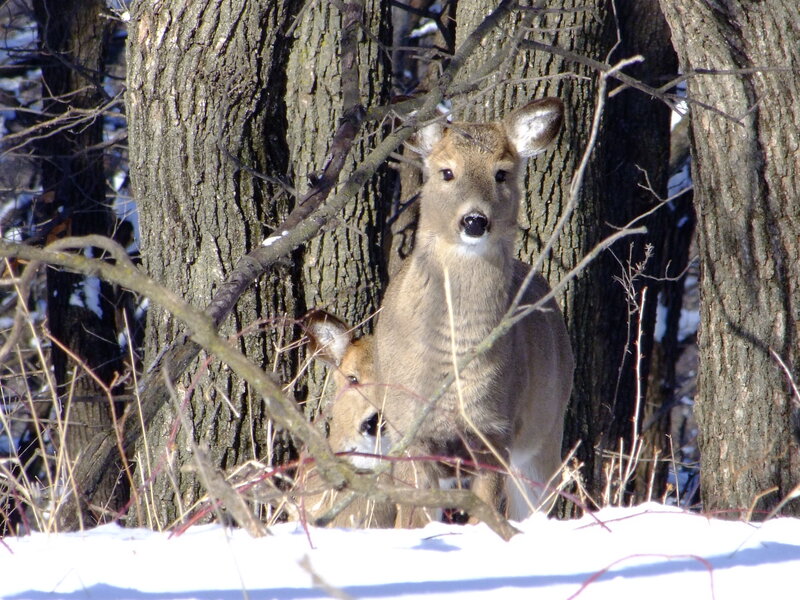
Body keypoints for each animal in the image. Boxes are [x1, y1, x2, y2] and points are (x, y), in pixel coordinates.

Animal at [374, 97, 575, 522]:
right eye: (447, 172)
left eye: (501, 173)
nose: (474, 220)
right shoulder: (408, 427)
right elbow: (415, 518)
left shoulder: (496, 428)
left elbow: (486, 511)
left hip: (546, 432)